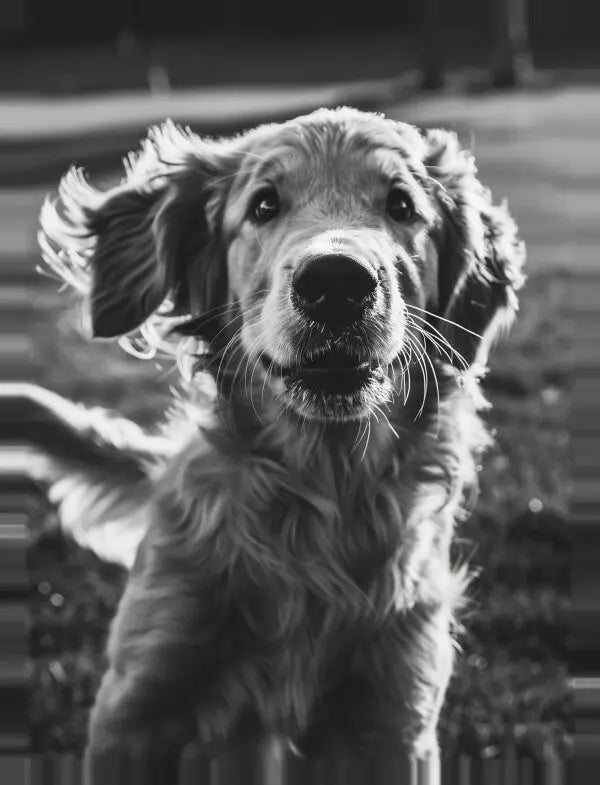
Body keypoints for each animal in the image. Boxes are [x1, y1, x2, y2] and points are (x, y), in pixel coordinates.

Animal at [25, 107, 524, 780]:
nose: (336, 282)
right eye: (264, 204)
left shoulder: (393, 721)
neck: (316, 498)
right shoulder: (134, 707)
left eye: (401, 205)